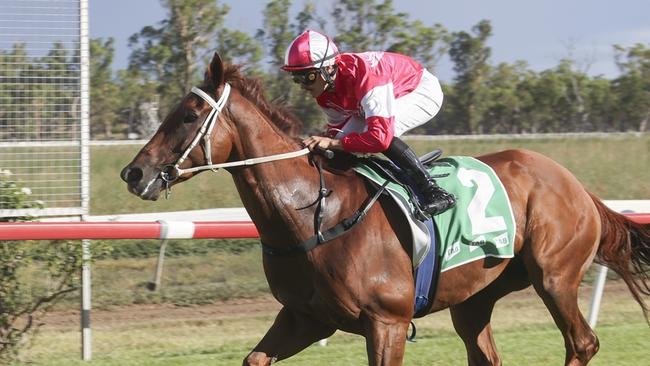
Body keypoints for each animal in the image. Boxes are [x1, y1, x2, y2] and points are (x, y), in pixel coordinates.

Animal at [121, 52, 648, 366]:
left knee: (582, 342)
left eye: (188, 116)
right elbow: (254, 359)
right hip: (476, 297)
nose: (134, 173)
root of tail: (574, 183)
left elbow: (379, 129)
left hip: (553, 275)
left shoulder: (387, 323)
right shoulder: (304, 318)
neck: (315, 216)